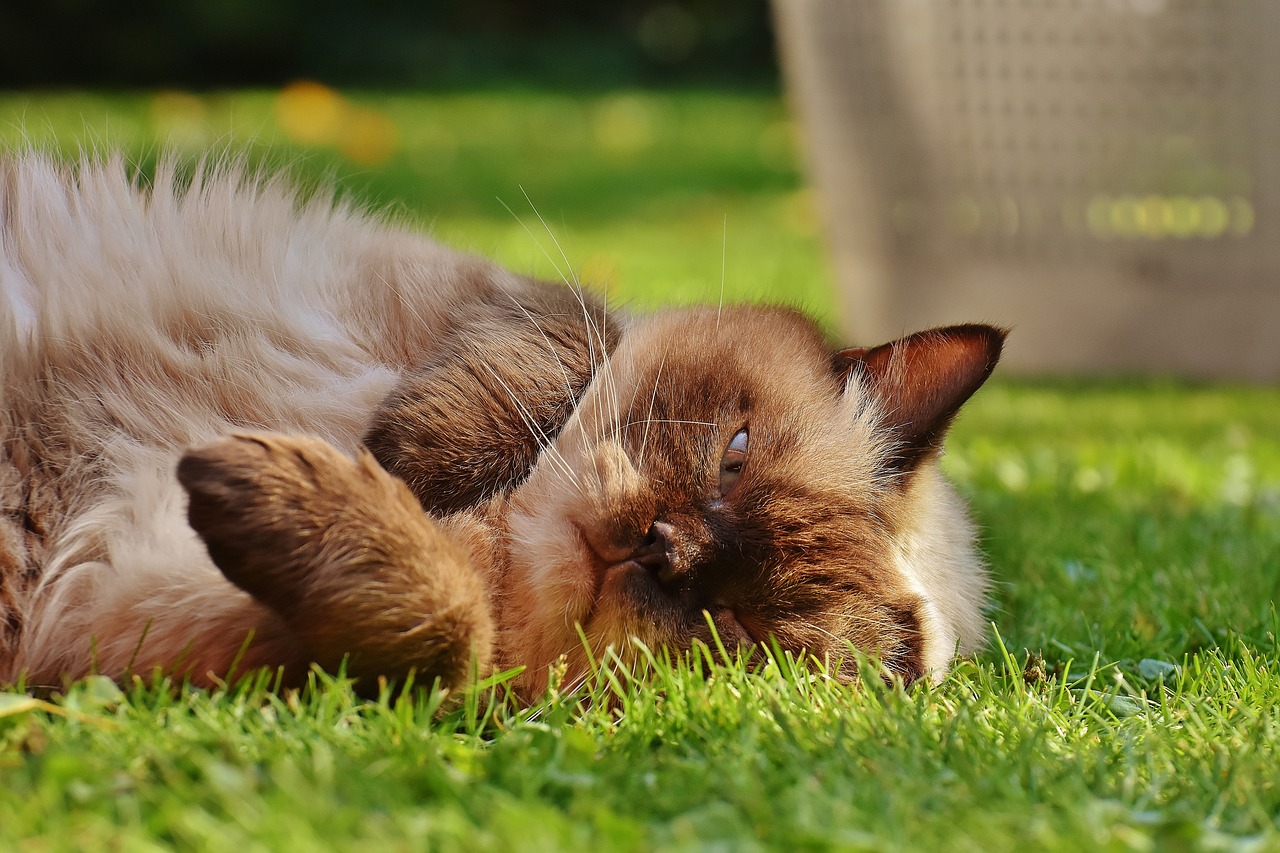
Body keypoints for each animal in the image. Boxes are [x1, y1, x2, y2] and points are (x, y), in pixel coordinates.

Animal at [0, 154, 998, 696]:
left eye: (739, 627)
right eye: (733, 457)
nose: (661, 545)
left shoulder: (110, 605)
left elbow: (450, 626)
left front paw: (301, 483)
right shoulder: (493, 297)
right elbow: (562, 344)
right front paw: (400, 461)